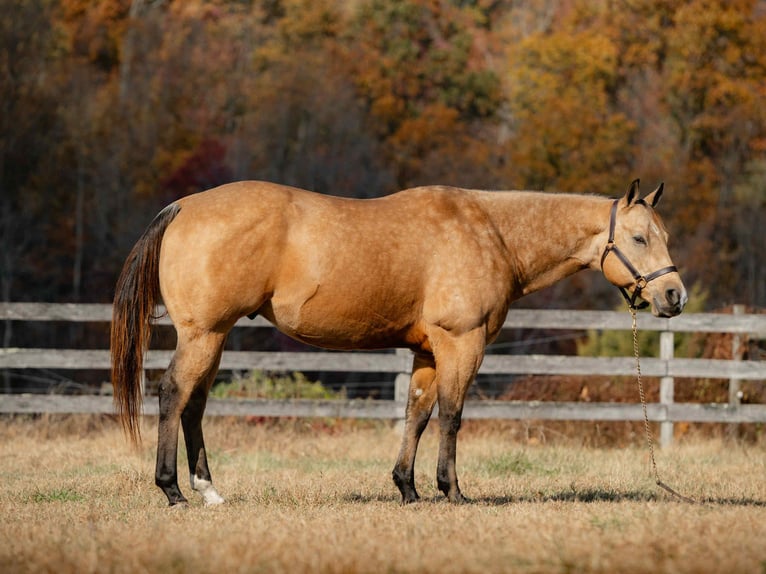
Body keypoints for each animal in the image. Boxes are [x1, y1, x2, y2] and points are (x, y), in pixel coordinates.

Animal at [111, 178, 687, 506]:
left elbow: (417, 414)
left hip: (215, 336)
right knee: (173, 396)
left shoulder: (427, 351)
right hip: (204, 334)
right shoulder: (462, 343)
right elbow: (451, 416)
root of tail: (182, 207)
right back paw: (173, 490)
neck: (493, 232)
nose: (674, 295)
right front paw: (452, 491)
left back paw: (207, 490)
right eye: (639, 238)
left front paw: (407, 489)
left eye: (664, 235)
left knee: (194, 404)